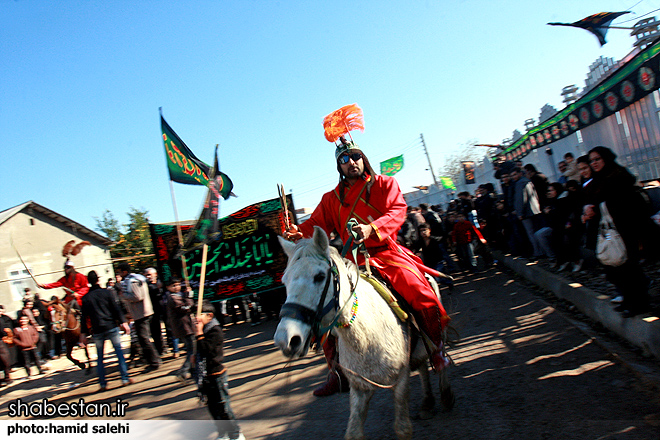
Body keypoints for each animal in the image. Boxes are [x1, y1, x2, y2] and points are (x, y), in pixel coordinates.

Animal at [274, 227, 454, 440]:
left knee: (438, 353)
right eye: (284, 280)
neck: (365, 339)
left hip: (434, 322)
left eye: (319, 276)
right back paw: (427, 402)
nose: (285, 339)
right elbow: (353, 432)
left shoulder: (400, 379)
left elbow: (403, 428)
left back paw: (445, 394)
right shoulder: (359, 388)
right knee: (421, 365)